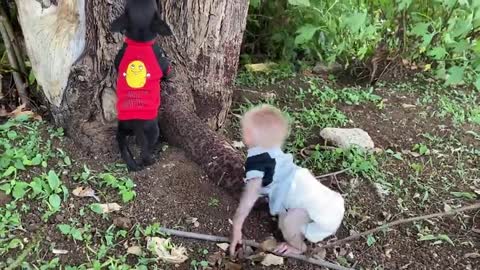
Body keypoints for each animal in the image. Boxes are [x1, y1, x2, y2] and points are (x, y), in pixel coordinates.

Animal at [110, 0, 172, 172]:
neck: (139, 41)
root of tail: (135, 123)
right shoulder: (162, 62)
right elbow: (166, 69)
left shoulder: (118, 57)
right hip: (153, 130)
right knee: (145, 154)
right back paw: (154, 155)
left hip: (122, 128)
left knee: (121, 141)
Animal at [231, 104, 344, 256]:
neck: (270, 148)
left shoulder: (256, 167)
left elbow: (248, 200)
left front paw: (236, 232)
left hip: (309, 215)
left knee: (289, 222)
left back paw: (297, 248)